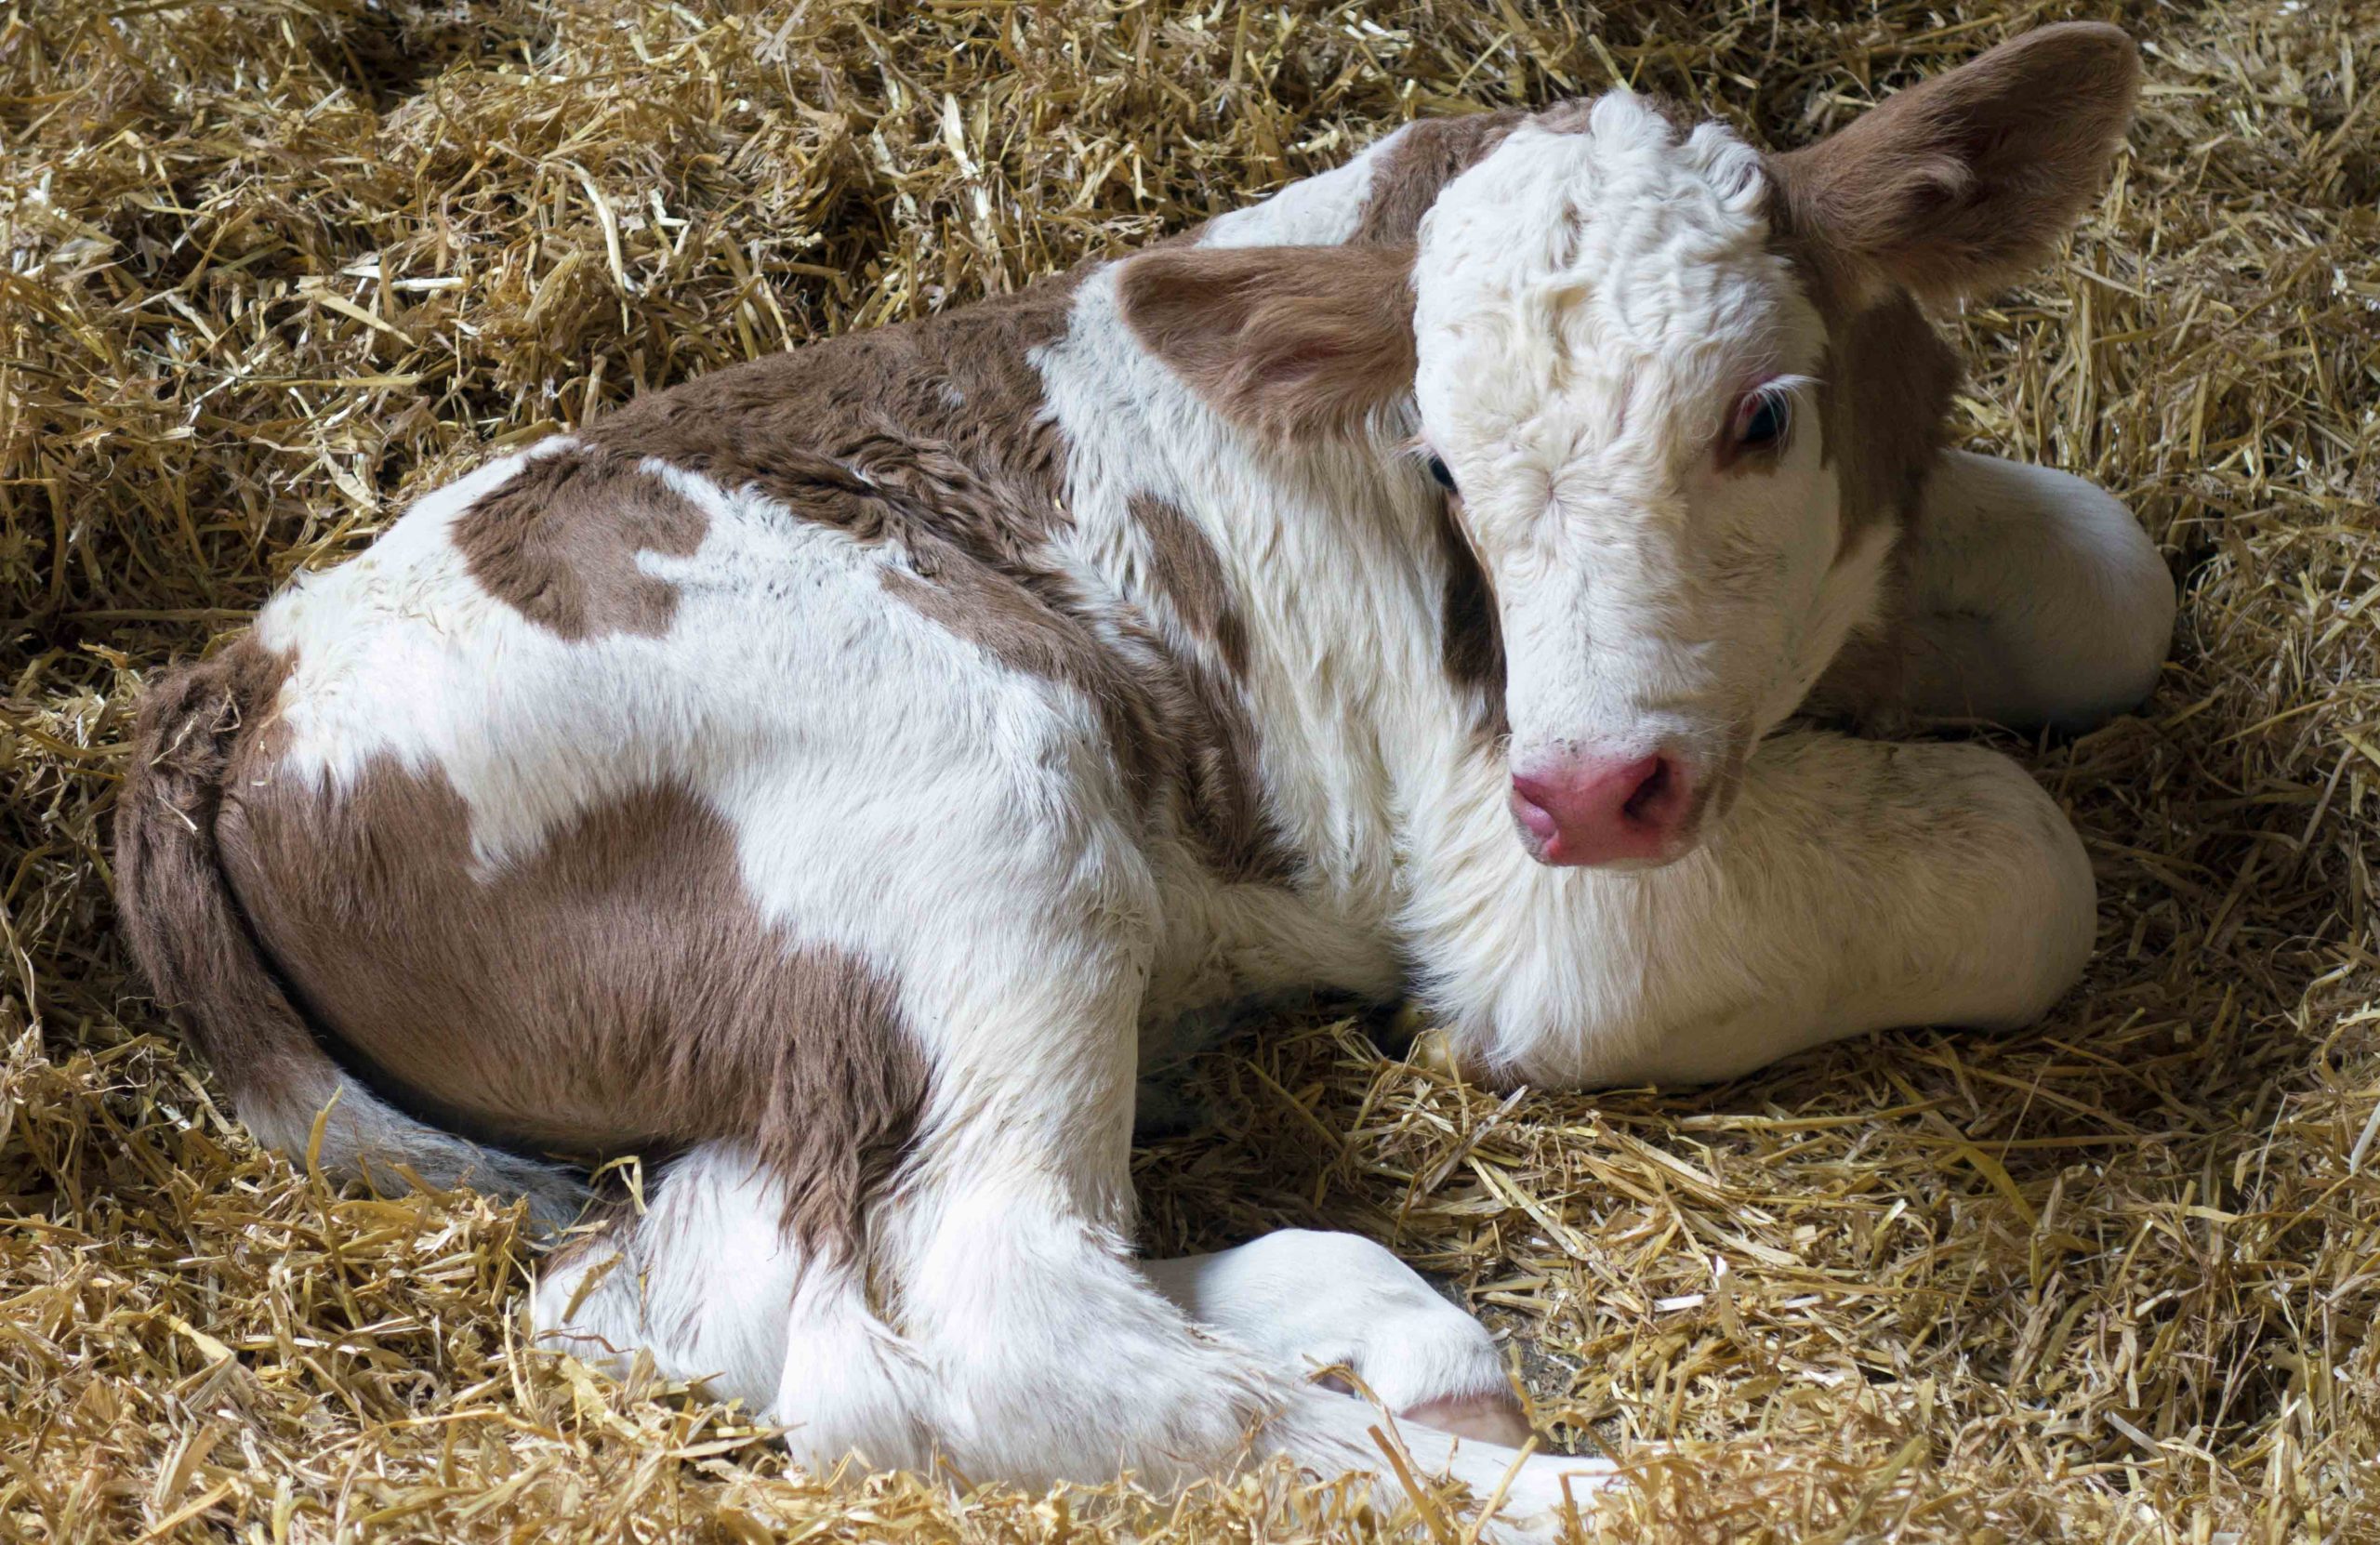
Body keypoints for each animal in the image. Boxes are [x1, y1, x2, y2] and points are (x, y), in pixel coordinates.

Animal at [113, 23, 2167, 1537]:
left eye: (1764, 415)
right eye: (1442, 469)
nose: (1589, 789)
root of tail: (237, 686)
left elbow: (2113, 574)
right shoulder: (1547, 901)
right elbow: (2025, 862)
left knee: (704, 1288)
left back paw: (1383, 1331)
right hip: (974, 803)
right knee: (960, 1324)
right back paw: (1548, 1489)